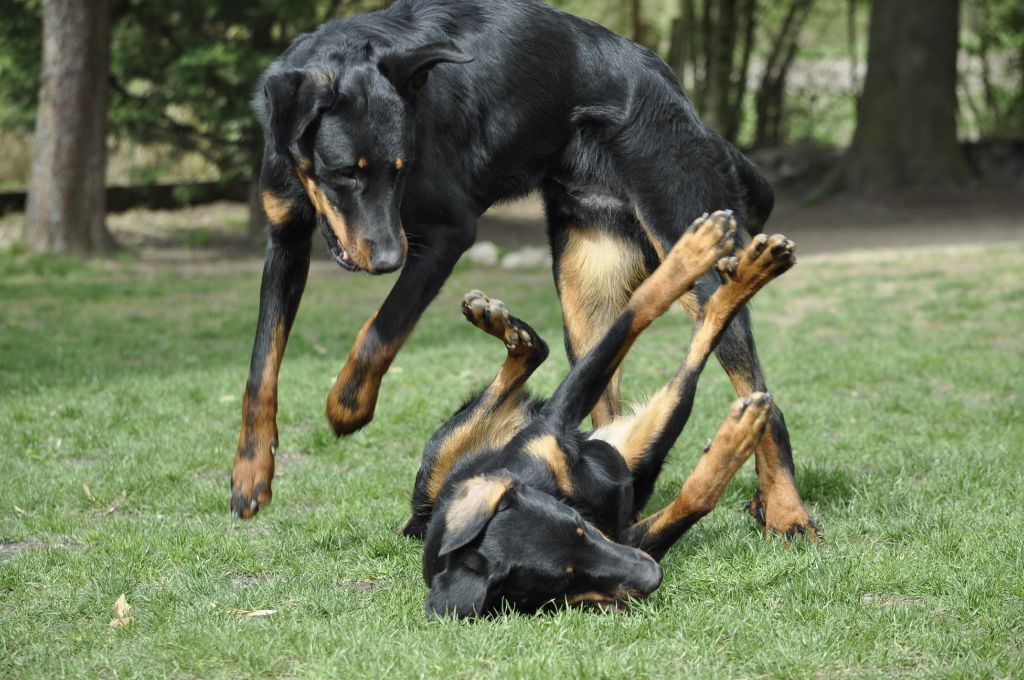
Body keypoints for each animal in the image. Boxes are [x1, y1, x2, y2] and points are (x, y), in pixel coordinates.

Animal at [232, 0, 815, 540]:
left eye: (401, 169)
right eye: (344, 174)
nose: (389, 260)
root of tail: (682, 101)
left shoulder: (445, 235)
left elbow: (381, 329)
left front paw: (348, 406)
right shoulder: (285, 239)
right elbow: (262, 361)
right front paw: (251, 472)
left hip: (685, 240)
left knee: (757, 391)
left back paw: (785, 508)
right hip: (584, 293)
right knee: (607, 399)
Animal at [399, 213, 790, 614]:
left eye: (578, 526)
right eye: (562, 582)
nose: (653, 576)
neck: (554, 490)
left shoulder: (554, 421)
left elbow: (636, 310)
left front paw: (689, 256)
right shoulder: (630, 539)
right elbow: (696, 497)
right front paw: (736, 439)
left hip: (446, 456)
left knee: (547, 350)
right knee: (692, 359)